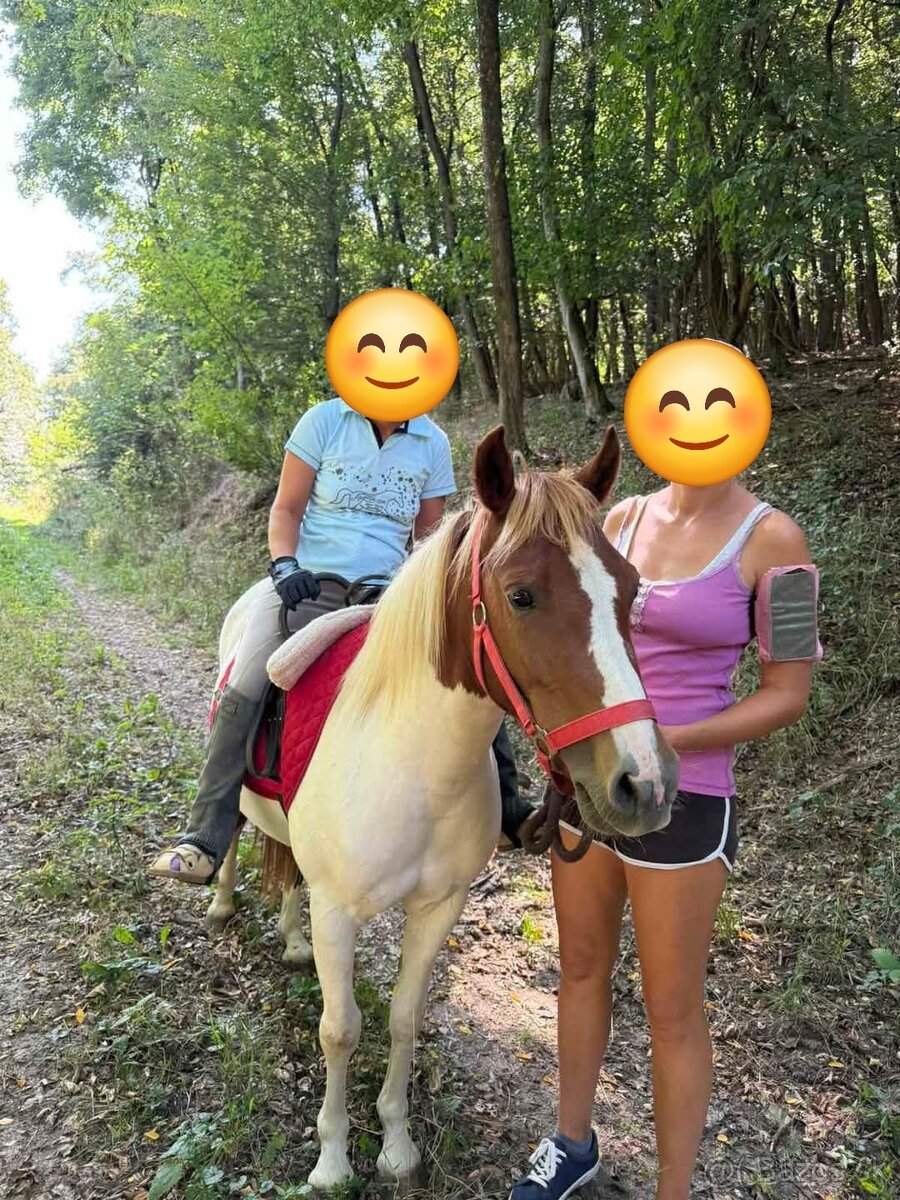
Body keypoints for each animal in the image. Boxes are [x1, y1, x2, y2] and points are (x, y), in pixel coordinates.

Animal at [204, 424, 679, 1189]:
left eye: (631, 588)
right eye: (521, 595)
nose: (646, 785)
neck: (413, 763)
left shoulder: (437, 907)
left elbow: (403, 1015)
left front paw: (395, 1145)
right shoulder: (340, 911)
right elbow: (340, 1028)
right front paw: (332, 1159)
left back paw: (293, 941)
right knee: (236, 827)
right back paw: (217, 896)